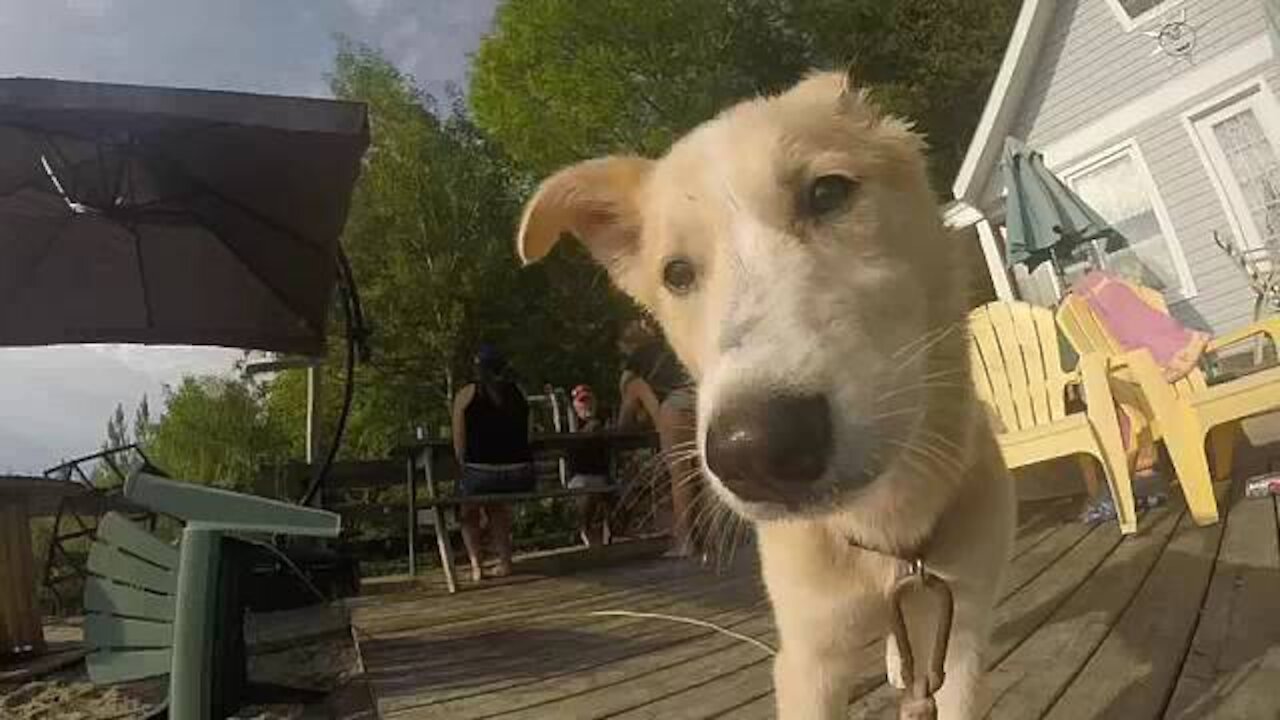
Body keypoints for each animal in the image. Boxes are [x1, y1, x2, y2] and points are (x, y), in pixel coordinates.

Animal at [514, 68, 1013, 717]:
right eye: (676, 274)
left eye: (828, 194)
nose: (755, 451)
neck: (887, 538)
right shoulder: (807, 658)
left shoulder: (963, 629)